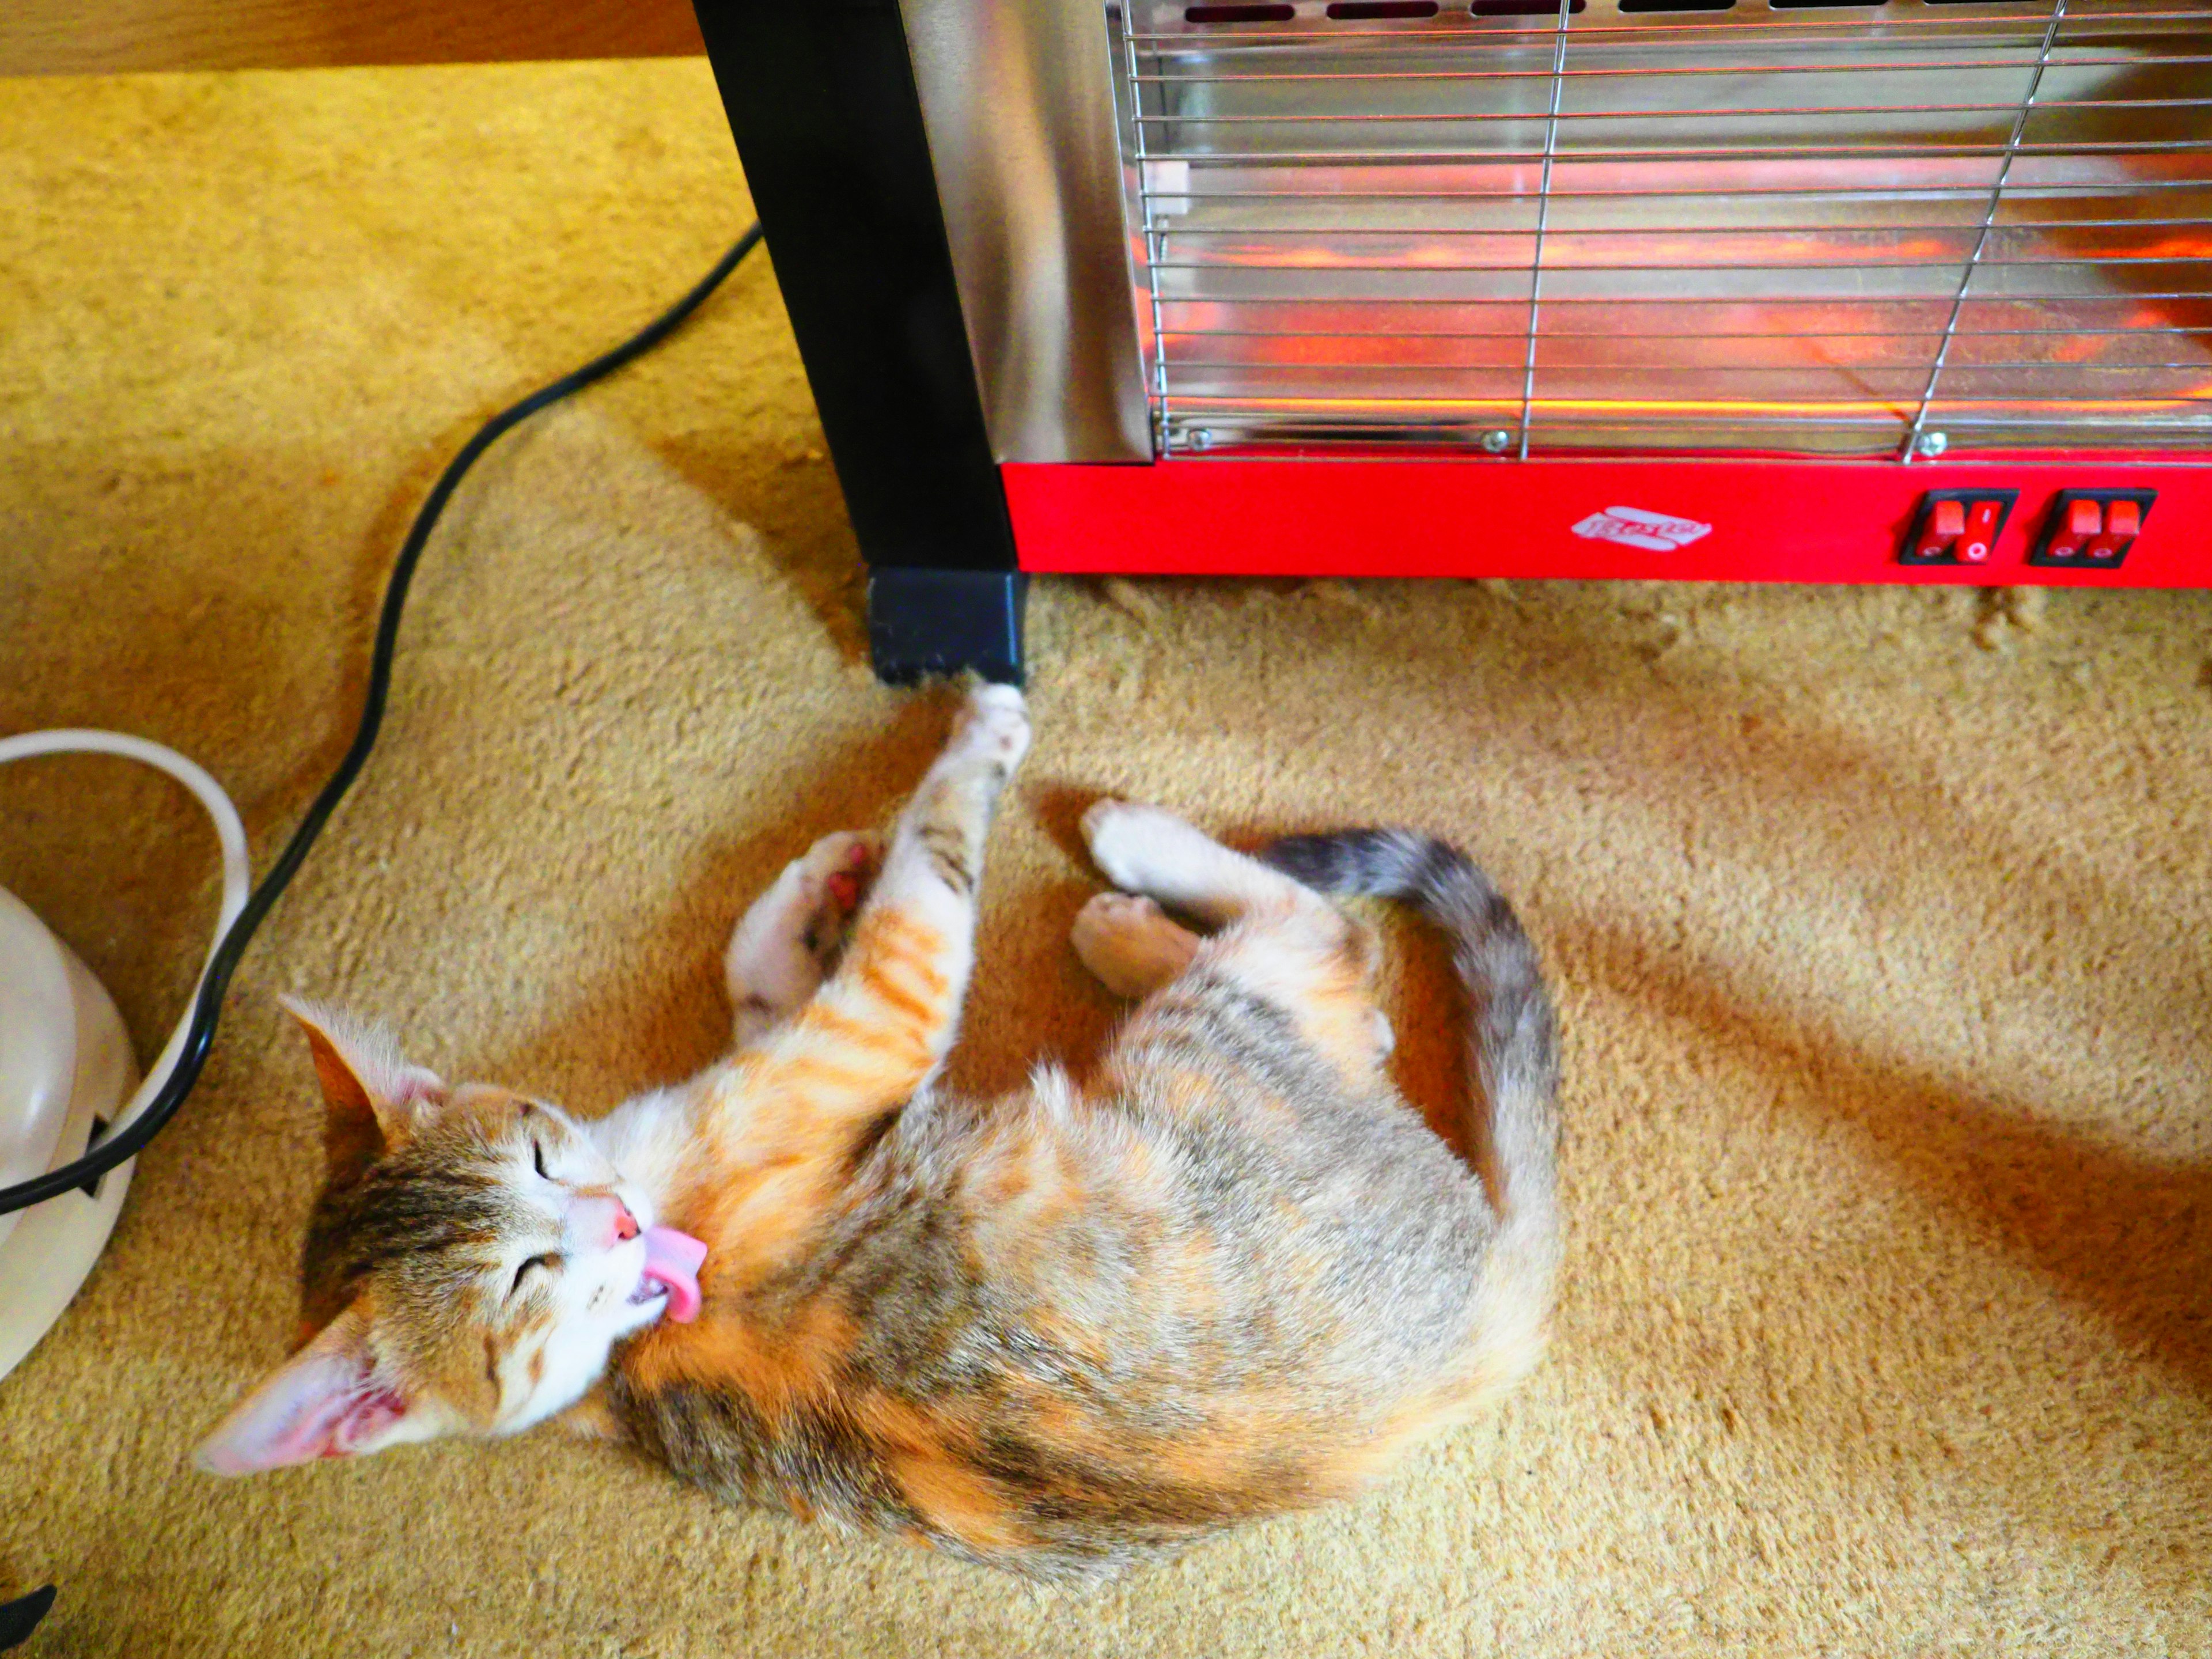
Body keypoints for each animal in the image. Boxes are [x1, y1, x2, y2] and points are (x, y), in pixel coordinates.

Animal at [203, 690, 1557, 1584]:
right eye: (527, 1280)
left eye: (538, 1158)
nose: (617, 1221)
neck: (618, 1364)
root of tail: (1492, 1317)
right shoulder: (871, 1029)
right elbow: (932, 862)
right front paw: (977, 736)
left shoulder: (807, 1060)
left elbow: (754, 966)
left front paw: (810, 889)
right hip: (1215, 1042)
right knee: (1330, 942)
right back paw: (1126, 883)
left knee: (1360, 996)